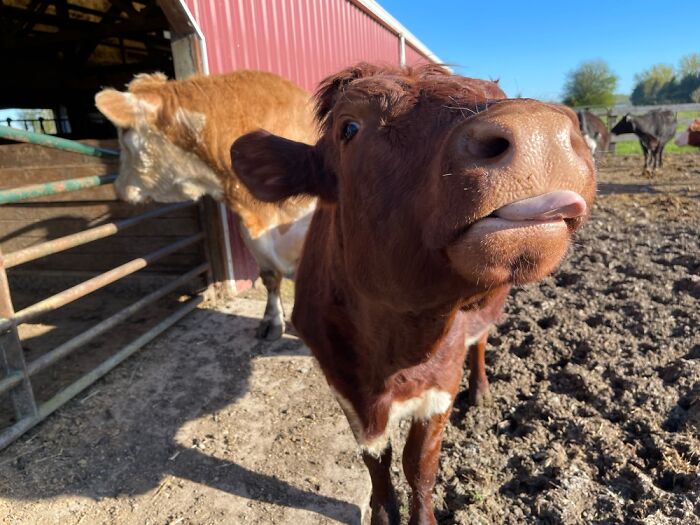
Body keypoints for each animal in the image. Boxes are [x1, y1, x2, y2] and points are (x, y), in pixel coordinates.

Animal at [231, 63, 596, 524]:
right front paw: (381, 510)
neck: (393, 354)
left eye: (495, 94)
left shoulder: (441, 384)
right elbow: (377, 461)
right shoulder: (344, 386)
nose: (538, 130)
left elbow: (419, 464)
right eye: (349, 127)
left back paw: (481, 392)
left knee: (481, 341)